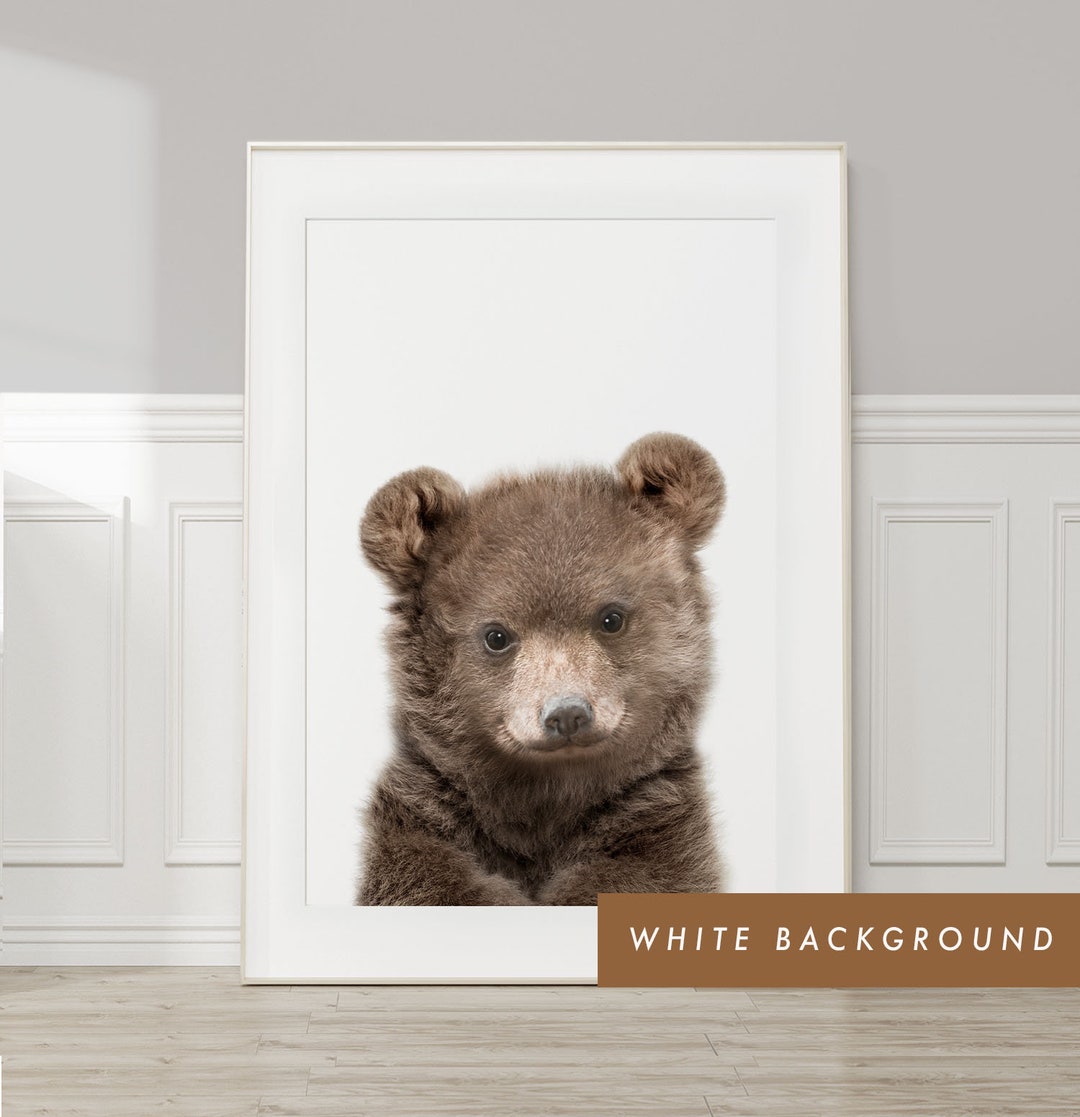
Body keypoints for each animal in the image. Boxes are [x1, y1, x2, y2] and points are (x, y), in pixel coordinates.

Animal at [355, 431, 726, 906]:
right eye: (496, 635)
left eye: (611, 617)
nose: (566, 714)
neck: (545, 802)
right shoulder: (424, 821)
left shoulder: (656, 826)